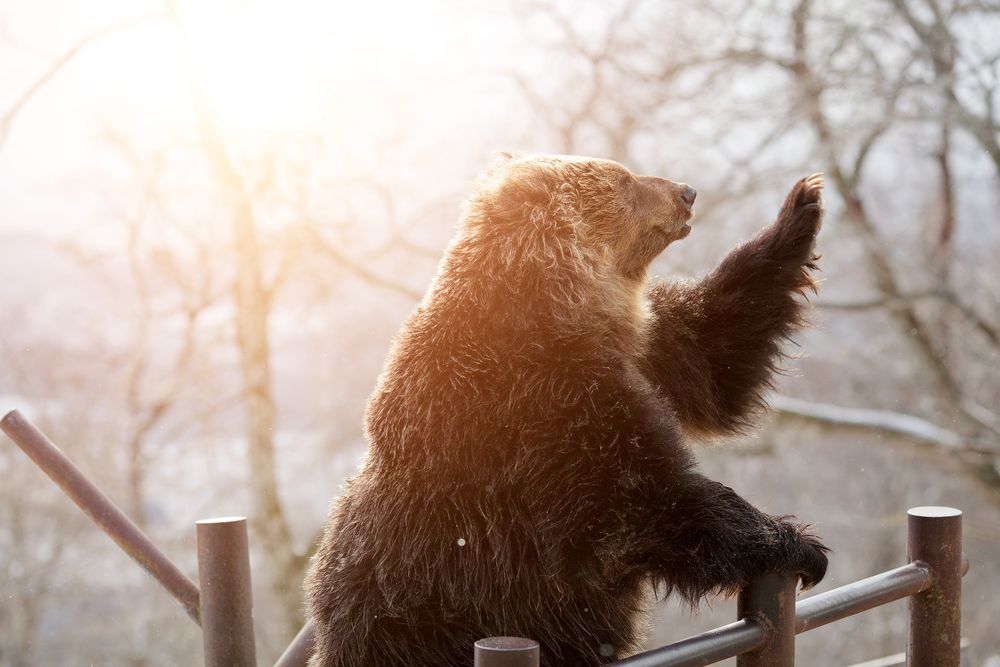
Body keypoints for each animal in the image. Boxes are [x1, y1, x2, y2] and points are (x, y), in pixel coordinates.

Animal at [304, 154, 829, 666]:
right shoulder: (543, 403)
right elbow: (642, 494)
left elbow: (714, 350)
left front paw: (801, 207)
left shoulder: (643, 348)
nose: (687, 191)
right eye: (623, 179)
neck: (556, 303)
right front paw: (798, 544)